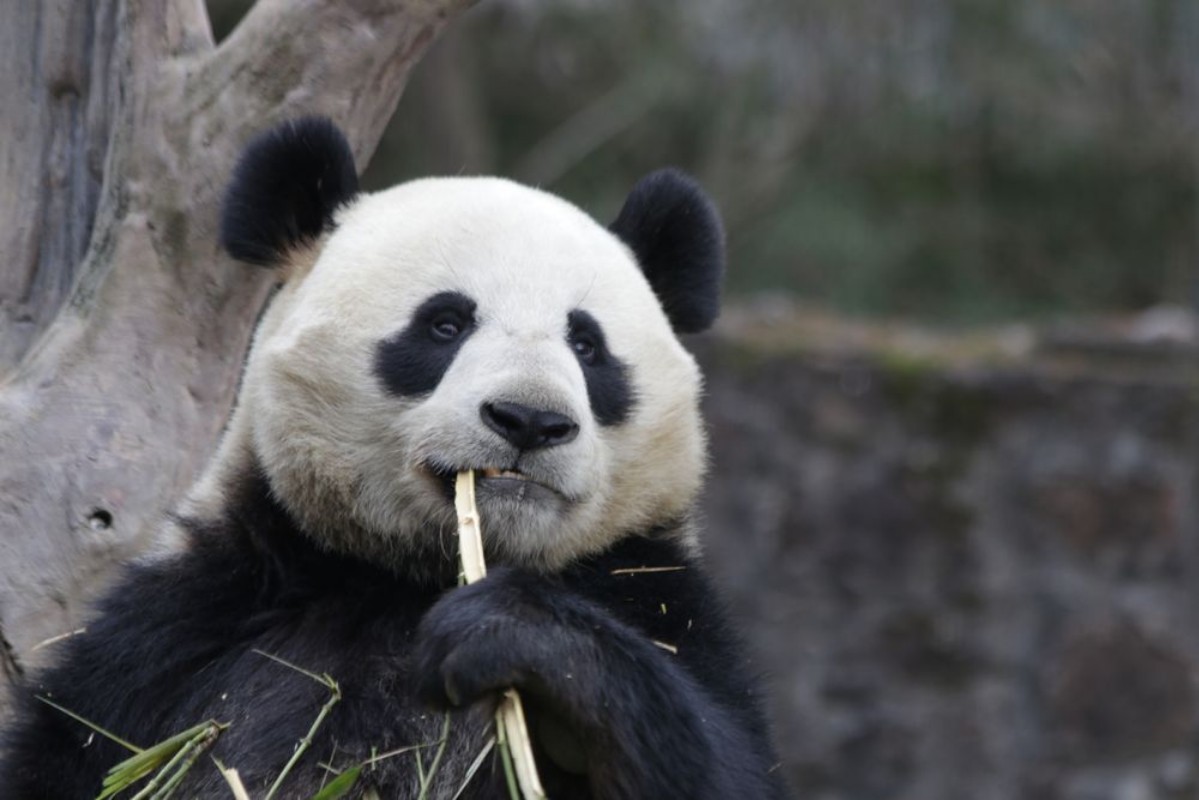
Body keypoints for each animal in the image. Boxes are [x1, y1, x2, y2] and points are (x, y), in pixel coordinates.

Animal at [0, 118, 789, 800]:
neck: (409, 579)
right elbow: (82, 752)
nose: (530, 420)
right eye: (445, 323)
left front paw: (511, 638)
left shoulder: (655, 598)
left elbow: (726, 763)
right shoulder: (185, 628)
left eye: (587, 345)